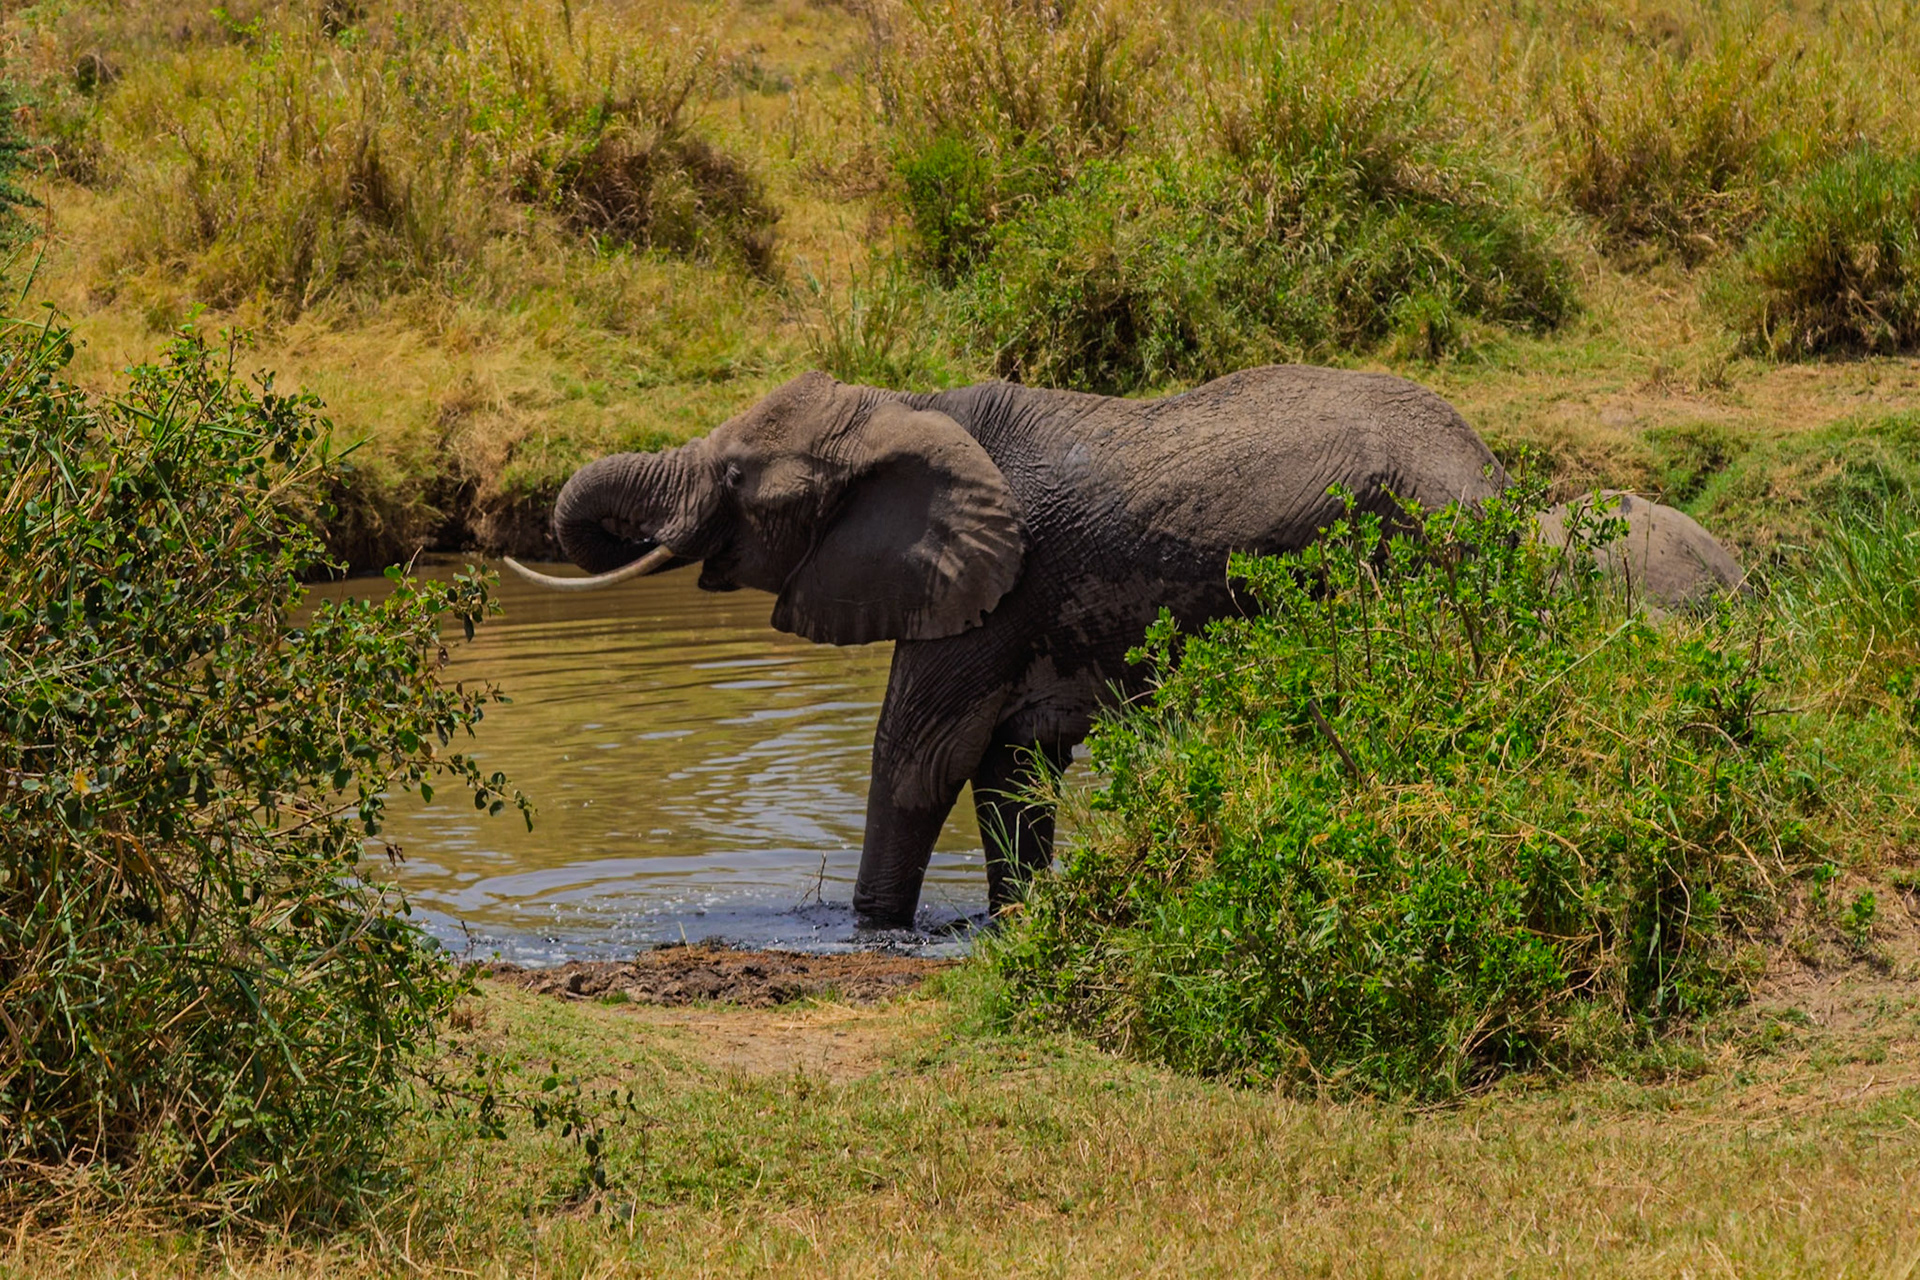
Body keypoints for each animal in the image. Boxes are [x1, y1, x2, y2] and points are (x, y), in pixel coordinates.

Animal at [505, 366, 1742, 927]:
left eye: (734, 480)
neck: (910, 406)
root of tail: (1499, 485)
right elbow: (1011, 771)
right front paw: (1012, 922)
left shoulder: (988, 595)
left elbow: (918, 759)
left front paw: (869, 930)